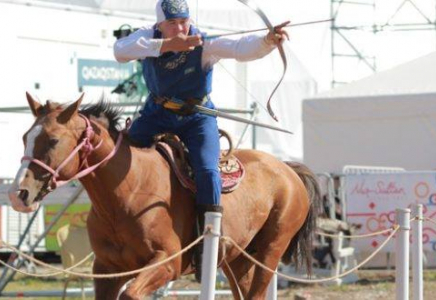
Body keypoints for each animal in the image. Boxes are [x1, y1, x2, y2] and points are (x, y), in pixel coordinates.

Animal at [6, 92, 320, 298]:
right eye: (24, 137)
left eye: (53, 140)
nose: (18, 193)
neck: (128, 192)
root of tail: (287, 169)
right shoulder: (106, 270)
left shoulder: (167, 262)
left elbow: (131, 294)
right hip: (237, 260)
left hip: (270, 252)